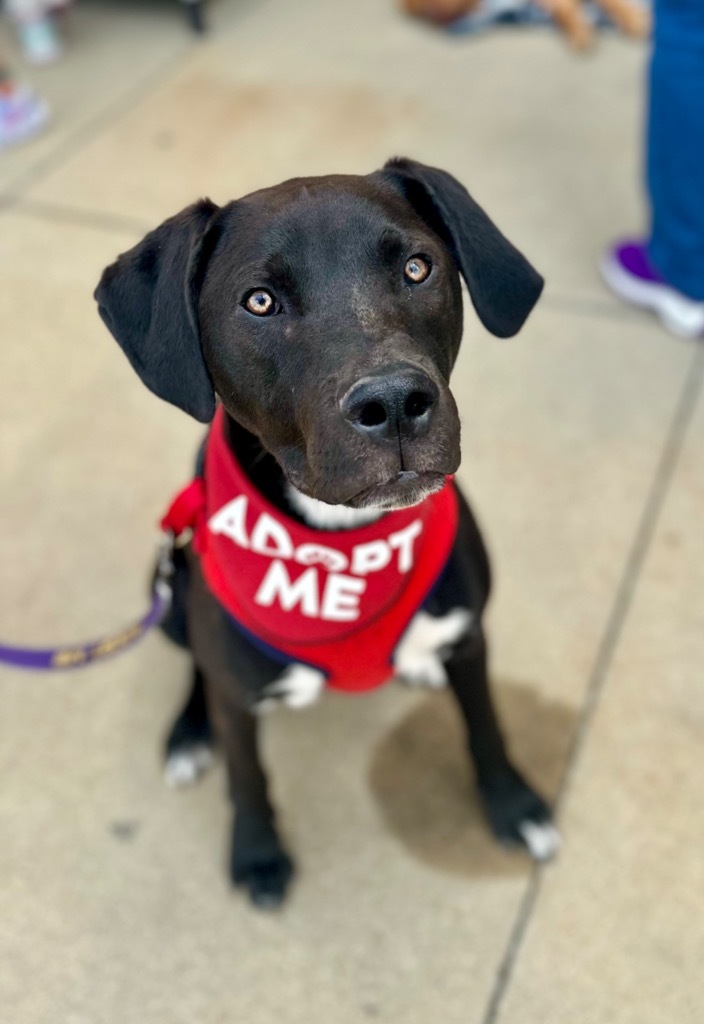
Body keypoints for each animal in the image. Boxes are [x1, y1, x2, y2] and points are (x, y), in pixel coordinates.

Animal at [96, 159, 556, 913]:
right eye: (258, 302)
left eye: (417, 267)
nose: (394, 402)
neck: (338, 545)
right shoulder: (236, 693)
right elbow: (249, 775)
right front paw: (257, 853)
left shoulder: (471, 635)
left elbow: (485, 726)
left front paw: (513, 806)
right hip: (167, 592)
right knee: (197, 669)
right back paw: (190, 734)